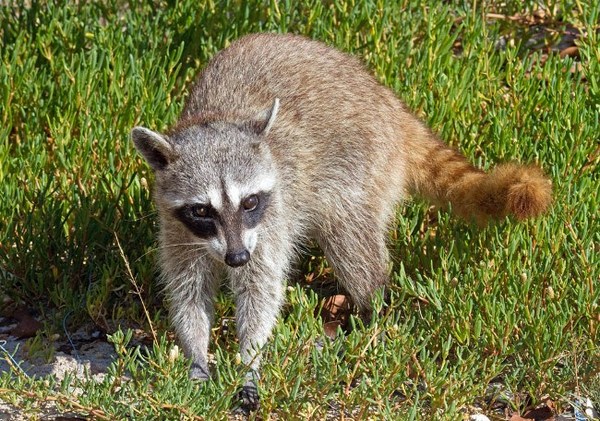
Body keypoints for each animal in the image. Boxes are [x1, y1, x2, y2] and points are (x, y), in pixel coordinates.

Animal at [130, 32, 548, 410]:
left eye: (249, 201)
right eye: (202, 210)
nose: (236, 259)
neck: (217, 119)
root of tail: (390, 105)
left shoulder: (269, 221)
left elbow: (259, 290)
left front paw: (250, 360)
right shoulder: (177, 229)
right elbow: (189, 292)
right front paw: (197, 356)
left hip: (361, 165)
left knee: (350, 243)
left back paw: (373, 310)